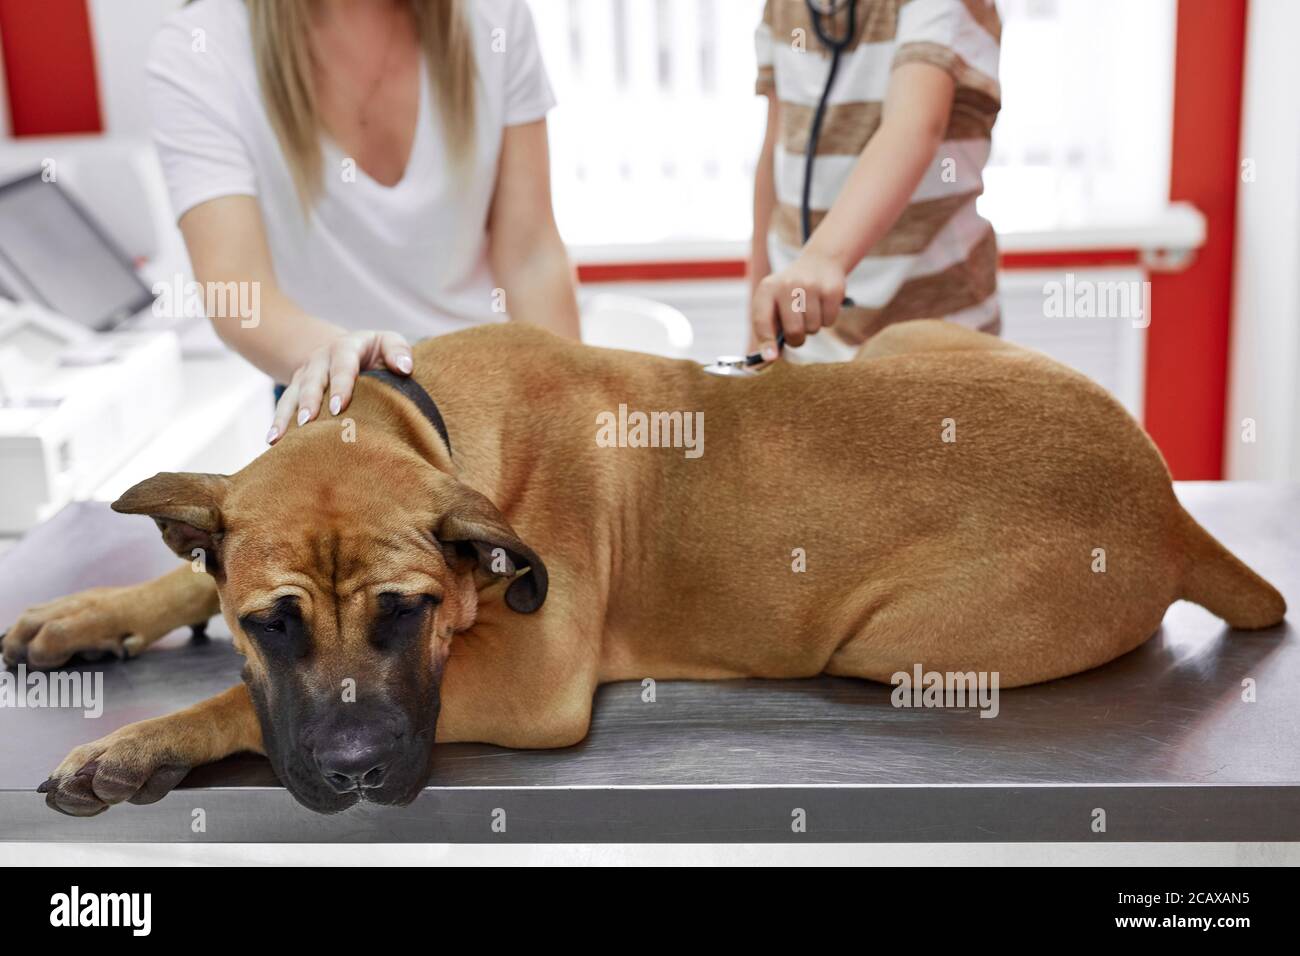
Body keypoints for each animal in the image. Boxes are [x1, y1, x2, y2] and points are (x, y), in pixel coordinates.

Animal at [0, 321, 1279, 816]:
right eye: (273, 622)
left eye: (410, 612)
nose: (359, 770)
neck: (426, 426)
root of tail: (1170, 505)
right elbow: (189, 575)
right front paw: (86, 611)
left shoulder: (527, 683)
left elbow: (230, 702)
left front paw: (143, 741)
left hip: (888, 641)